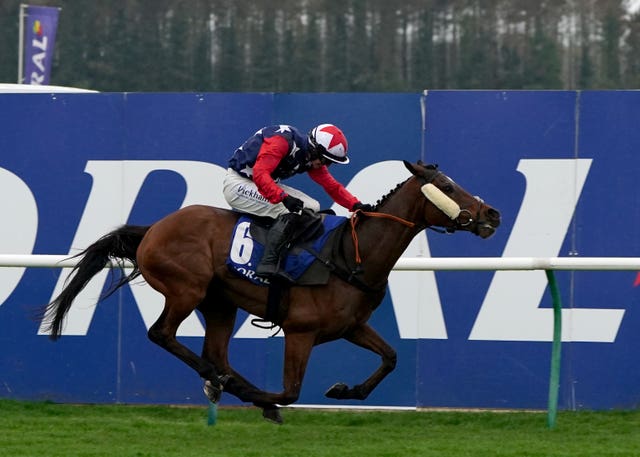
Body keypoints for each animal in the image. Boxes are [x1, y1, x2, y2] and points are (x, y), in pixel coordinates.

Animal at [41, 159, 500, 422]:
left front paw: (345, 391)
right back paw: (229, 385)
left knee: (215, 352)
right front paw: (265, 397)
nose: (491, 213)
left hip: (220, 304)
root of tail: (153, 229)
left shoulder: (350, 326)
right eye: (447, 186)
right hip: (187, 289)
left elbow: (390, 358)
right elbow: (291, 390)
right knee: (163, 335)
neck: (352, 254)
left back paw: (227, 382)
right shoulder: (301, 330)